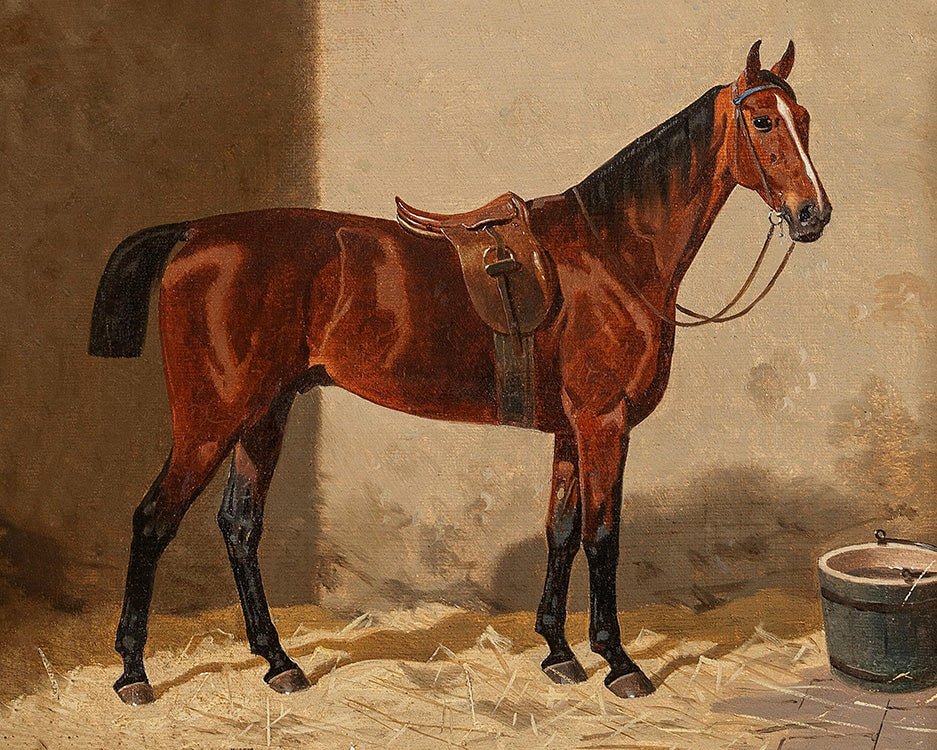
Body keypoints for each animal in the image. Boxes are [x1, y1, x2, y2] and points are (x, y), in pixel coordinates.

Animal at [88, 40, 830, 706]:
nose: (812, 214)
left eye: (804, 118)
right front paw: (617, 662)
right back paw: (132, 673)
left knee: (240, 526)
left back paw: (278, 663)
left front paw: (558, 653)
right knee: (153, 521)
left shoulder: (572, 431)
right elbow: (602, 537)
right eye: (762, 121)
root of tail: (193, 233)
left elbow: (561, 532)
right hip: (210, 419)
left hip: (264, 413)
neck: (612, 253)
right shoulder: (604, 423)